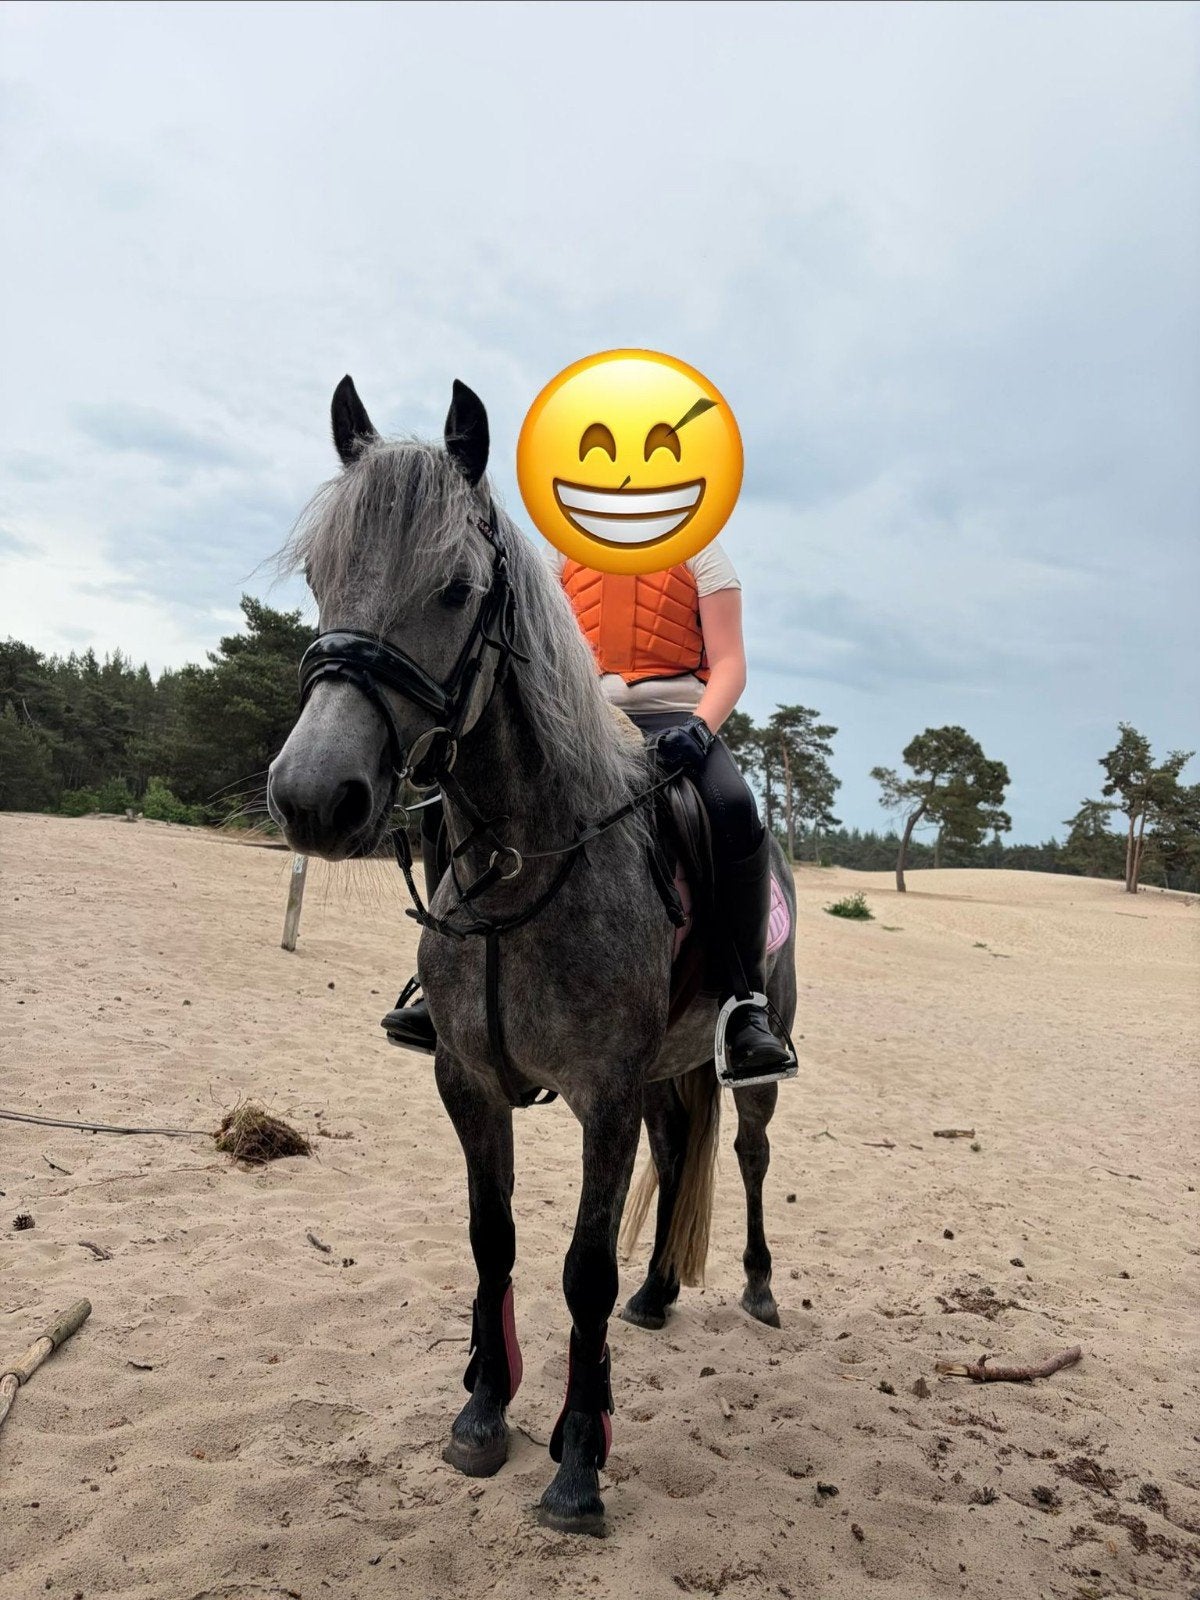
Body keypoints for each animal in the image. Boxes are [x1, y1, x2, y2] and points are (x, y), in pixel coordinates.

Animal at [267, 376, 798, 1537]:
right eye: (321, 577)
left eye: (457, 589)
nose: (314, 796)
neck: (525, 865)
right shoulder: (468, 1082)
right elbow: (493, 1241)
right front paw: (483, 1412)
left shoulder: (601, 1094)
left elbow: (581, 1270)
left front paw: (578, 1461)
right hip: (662, 1075)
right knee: (679, 1151)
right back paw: (658, 1295)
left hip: (745, 1071)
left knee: (744, 1155)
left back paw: (756, 1285)